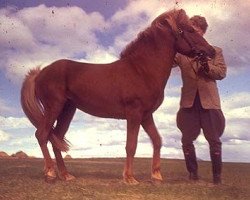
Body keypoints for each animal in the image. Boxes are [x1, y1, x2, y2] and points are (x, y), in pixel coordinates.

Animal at [21, 9, 215, 184]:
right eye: (190, 30)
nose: (211, 51)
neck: (142, 70)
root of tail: (40, 73)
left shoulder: (146, 116)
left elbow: (157, 141)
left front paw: (156, 176)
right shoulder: (134, 114)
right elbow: (131, 145)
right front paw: (129, 178)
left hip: (67, 110)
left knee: (56, 139)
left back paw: (65, 175)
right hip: (53, 107)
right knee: (42, 134)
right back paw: (50, 173)